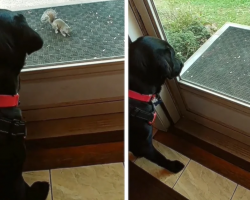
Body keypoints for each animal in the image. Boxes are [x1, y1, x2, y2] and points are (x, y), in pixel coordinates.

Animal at [130, 36, 185, 173]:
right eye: (172, 53)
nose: (182, 63)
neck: (135, 92)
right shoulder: (144, 144)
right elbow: (160, 158)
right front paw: (173, 166)